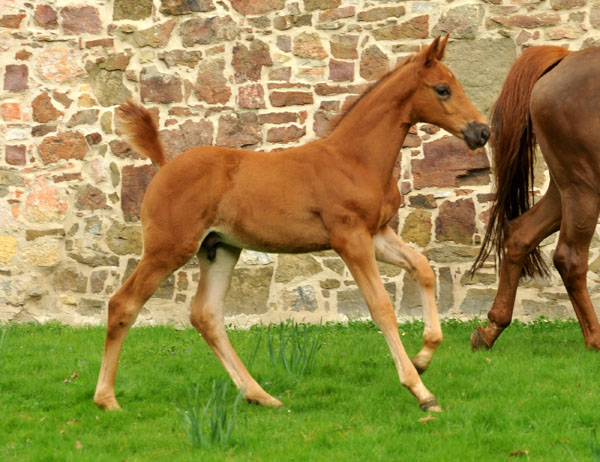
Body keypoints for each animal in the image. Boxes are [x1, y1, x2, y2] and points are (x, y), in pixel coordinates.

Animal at [94, 36, 488, 412]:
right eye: (443, 89)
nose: (481, 132)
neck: (355, 159)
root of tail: (164, 165)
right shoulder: (350, 238)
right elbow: (382, 307)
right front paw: (420, 390)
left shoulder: (376, 233)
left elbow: (423, 268)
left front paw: (423, 357)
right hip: (168, 249)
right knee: (123, 305)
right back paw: (107, 399)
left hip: (219, 249)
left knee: (206, 316)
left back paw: (260, 396)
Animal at [472, 46, 600, 350]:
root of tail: (565, 58)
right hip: (584, 187)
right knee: (569, 258)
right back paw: (595, 339)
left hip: (565, 189)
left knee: (520, 233)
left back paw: (491, 328)